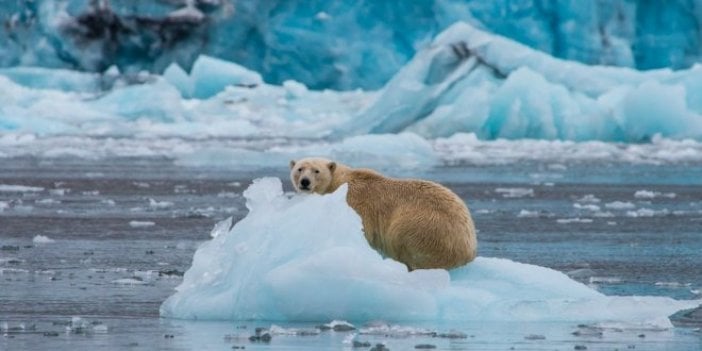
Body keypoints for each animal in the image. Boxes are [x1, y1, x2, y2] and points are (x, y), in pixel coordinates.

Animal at [292, 158, 478, 270]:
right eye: (300, 169)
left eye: (316, 170)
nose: (305, 182)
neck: (340, 182)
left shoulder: (356, 202)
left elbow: (364, 230)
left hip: (424, 226)